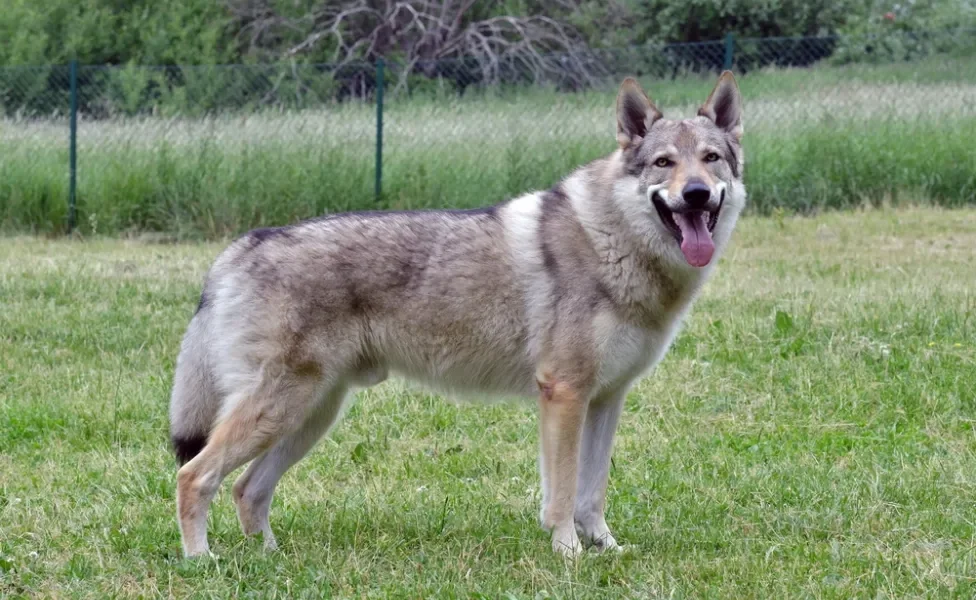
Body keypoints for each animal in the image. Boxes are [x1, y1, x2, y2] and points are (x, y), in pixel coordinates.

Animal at [170, 70, 748, 556]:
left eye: (711, 159)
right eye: (664, 163)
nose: (696, 194)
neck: (614, 242)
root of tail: (239, 247)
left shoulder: (606, 398)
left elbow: (592, 493)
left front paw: (606, 549)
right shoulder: (564, 394)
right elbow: (562, 493)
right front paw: (569, 555)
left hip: (312, 414)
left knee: (247, 489)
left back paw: (270, 559)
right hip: (282, 408)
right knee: (194, 476)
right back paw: (203, 561)